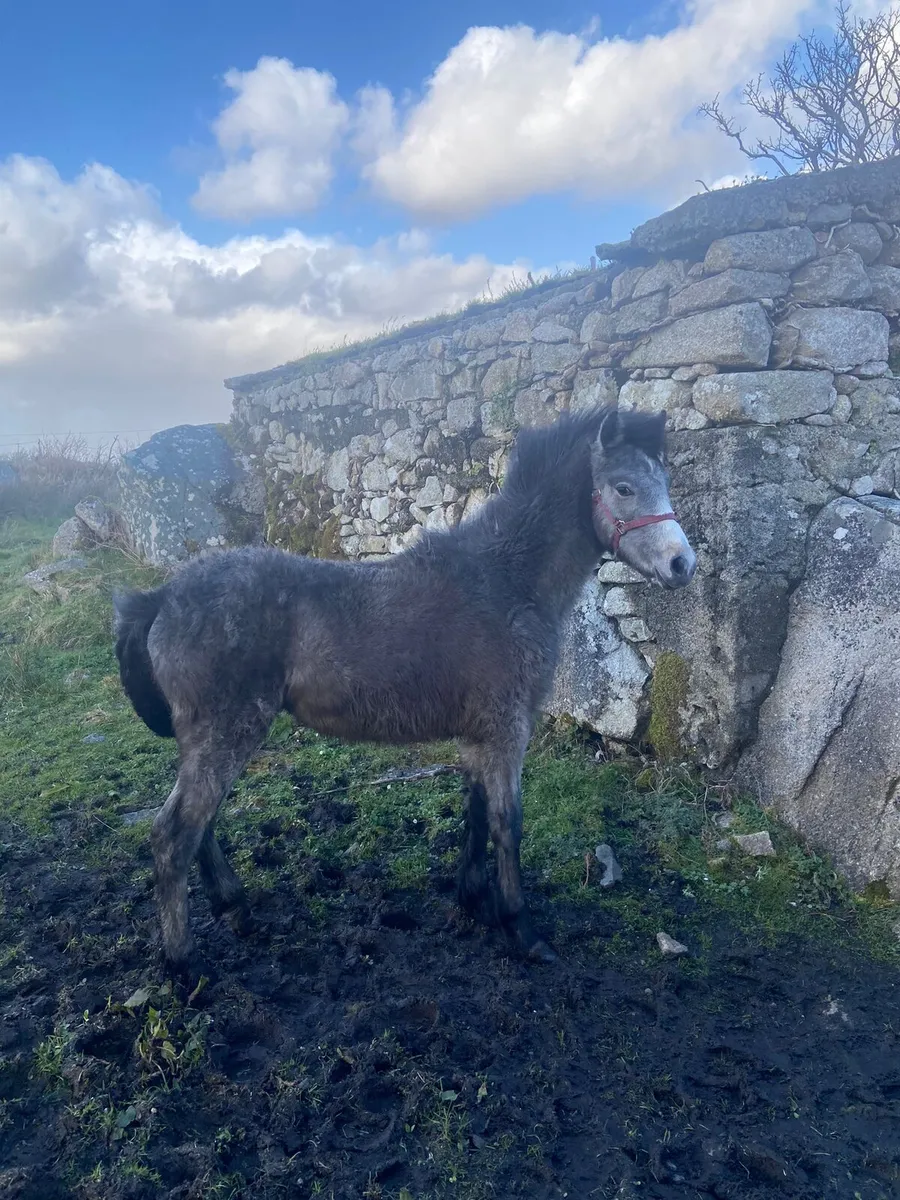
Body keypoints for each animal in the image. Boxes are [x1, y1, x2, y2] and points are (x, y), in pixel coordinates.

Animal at [114, 406, 696, 979]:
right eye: (623, 487)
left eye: (664, 482)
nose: (682, 565)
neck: (505, 580)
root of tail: (161, 597)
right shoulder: (507, 730)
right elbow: (507, 824)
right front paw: (522, 930)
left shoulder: (478, 734)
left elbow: (475, 812)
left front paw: (473, 900)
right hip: (227, 732)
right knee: (173, 836)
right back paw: (186, 964)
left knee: (201, 824)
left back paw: (234, 907)